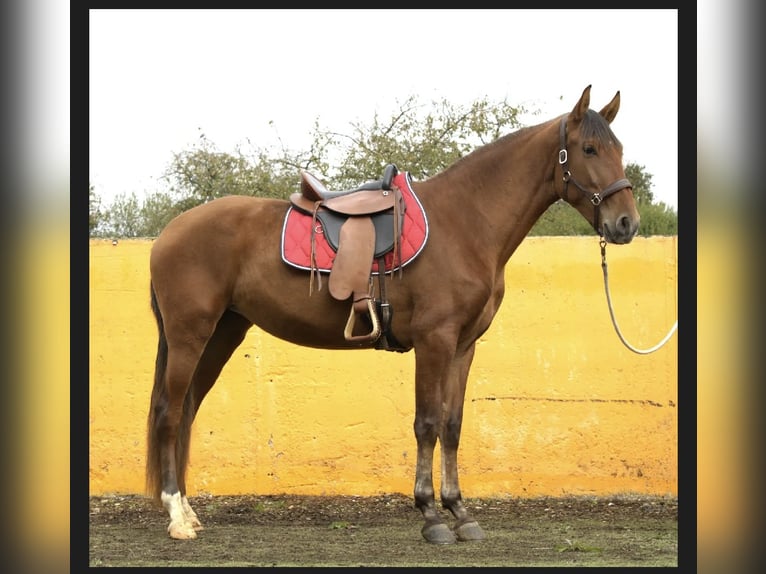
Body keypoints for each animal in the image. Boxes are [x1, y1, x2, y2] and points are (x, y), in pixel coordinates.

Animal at [146, 85, 640, 544]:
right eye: (589, 149)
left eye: (619, 149)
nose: (626, 224)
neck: (466, 221)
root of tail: (169, 233)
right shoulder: (434, 340)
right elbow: (427, 424)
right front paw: (431, 517)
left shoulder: (464, 346)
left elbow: (452, 425)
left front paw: (461, 513)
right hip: (190, 336)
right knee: (170, 413)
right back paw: (176, 518)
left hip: (222, 333)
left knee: (187, 410)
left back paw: (188, 511)